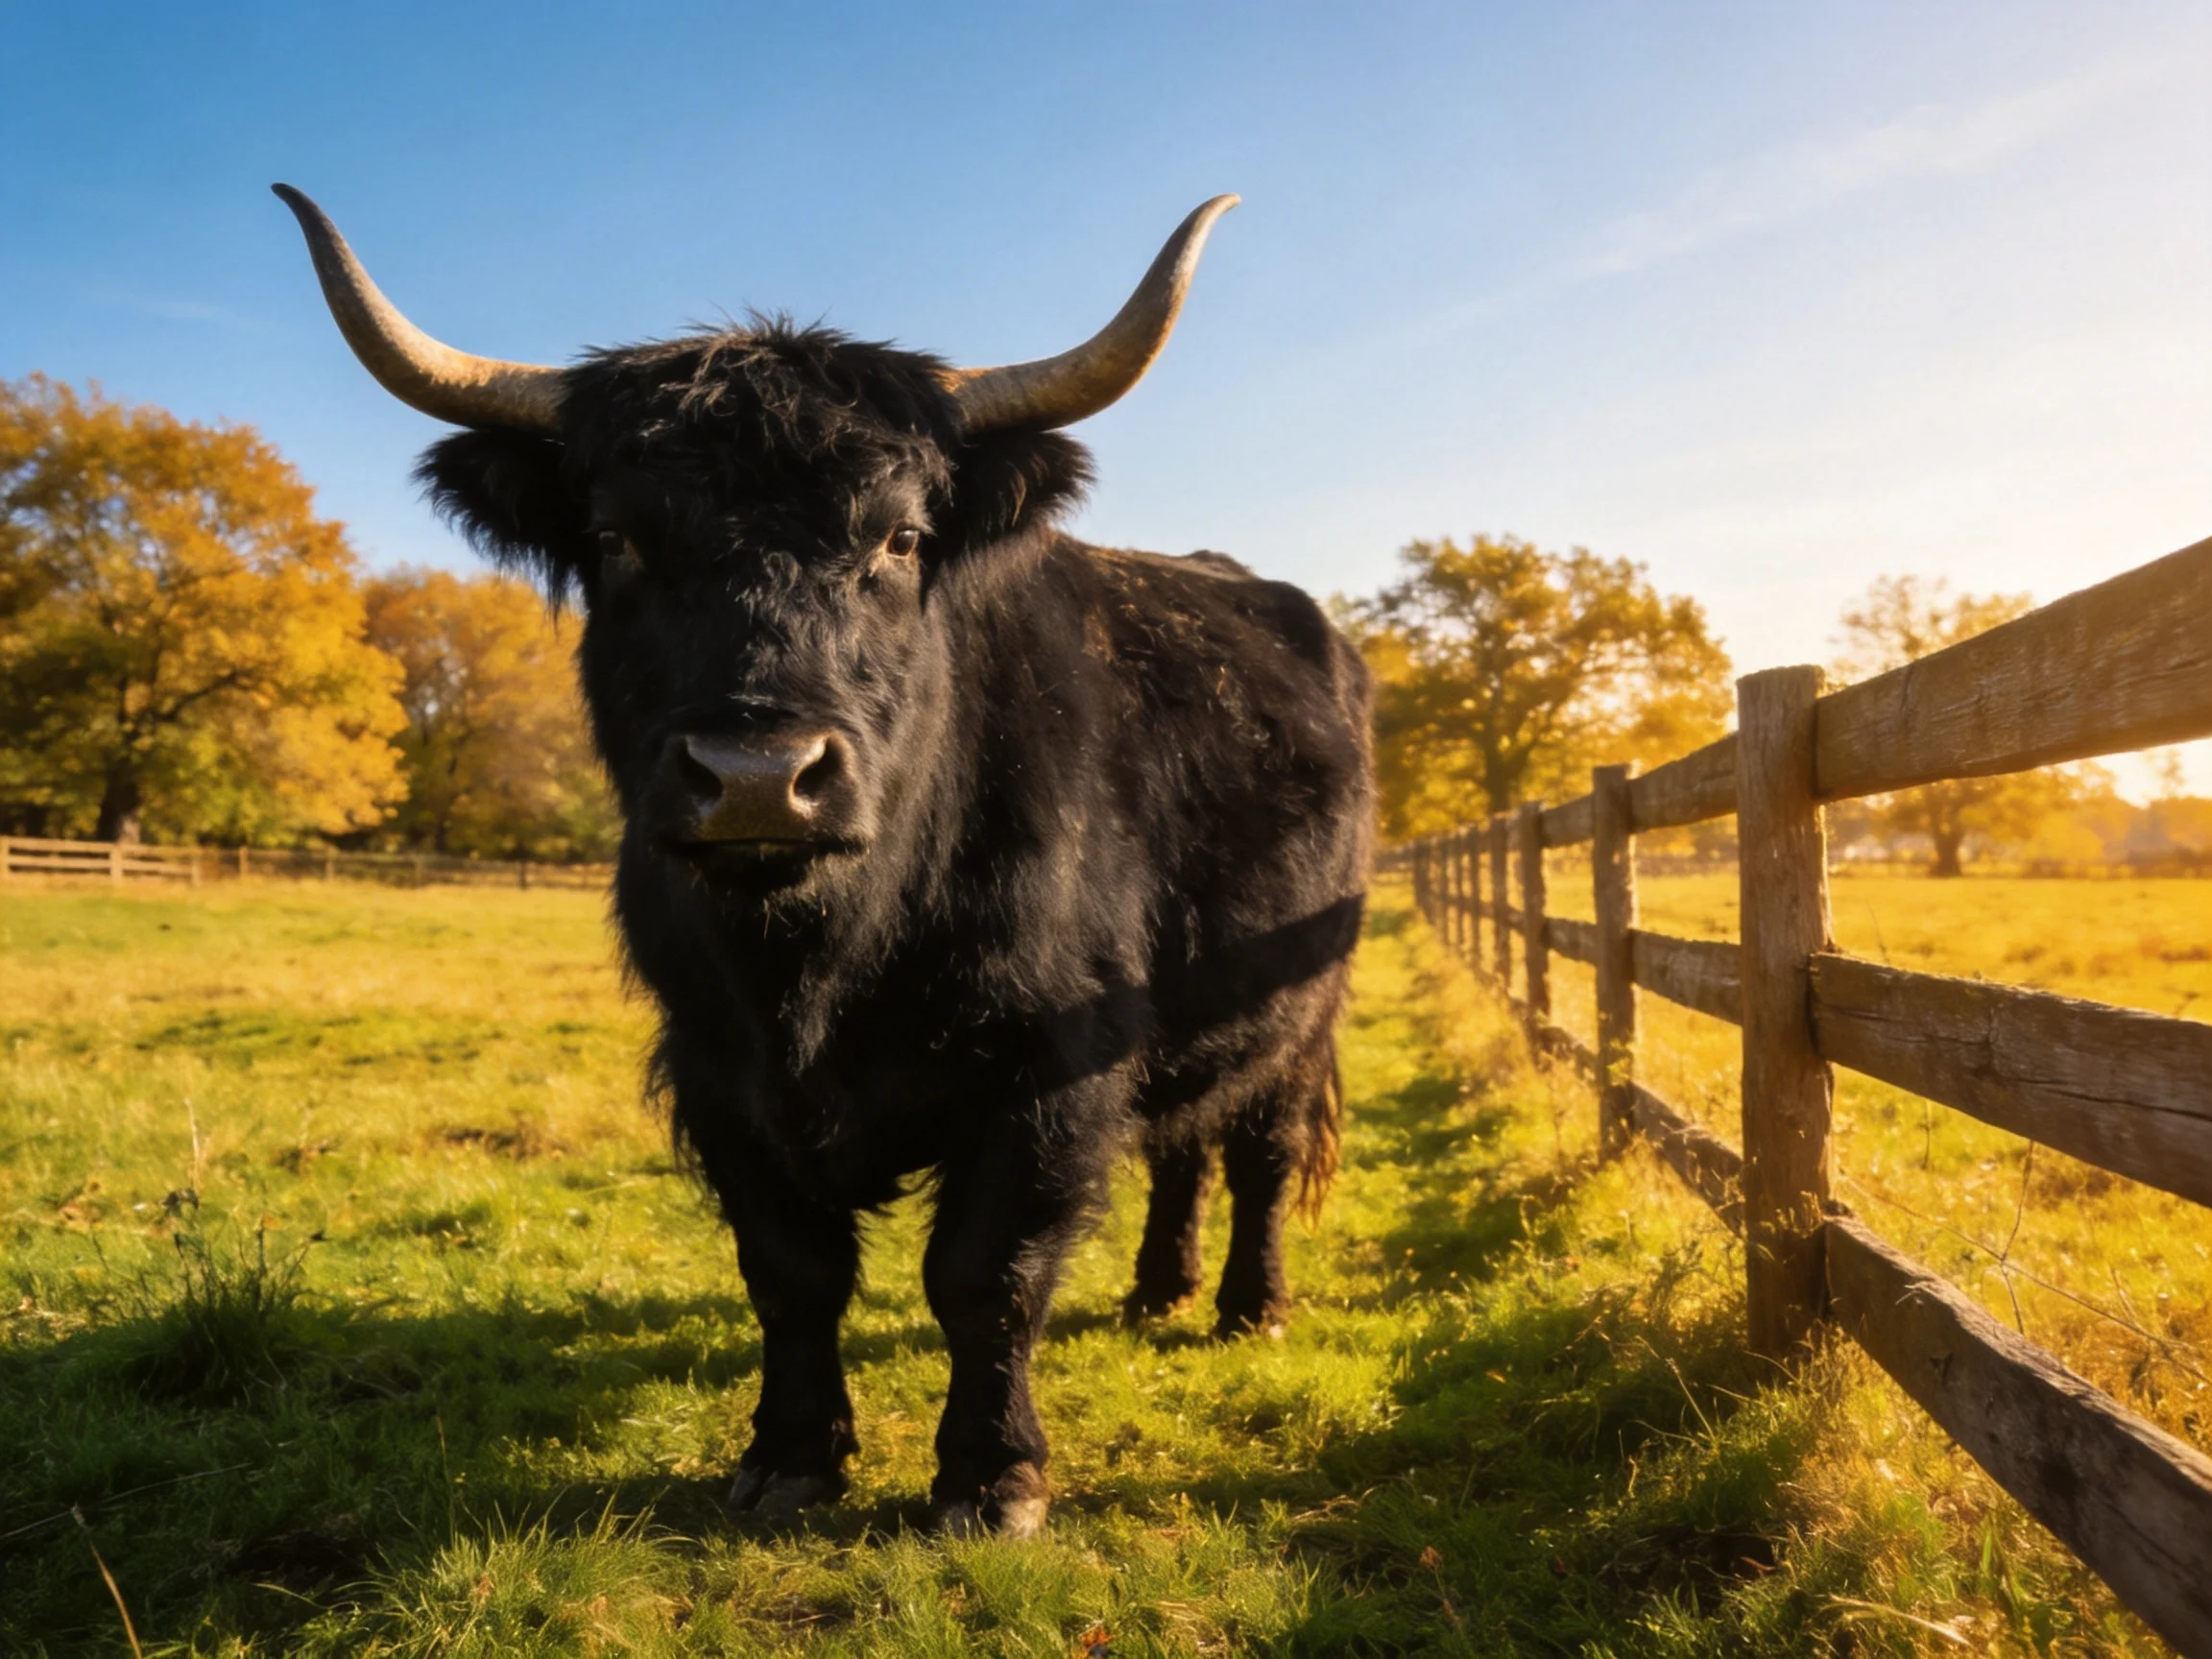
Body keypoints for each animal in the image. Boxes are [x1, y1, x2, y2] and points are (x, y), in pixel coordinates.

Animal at [277, 186, 1375, 1537]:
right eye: (618, 539)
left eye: (900, 539)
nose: (758, 774)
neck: (819, 963)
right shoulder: (716, 1070)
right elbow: (790, 1271)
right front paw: (790, 1456)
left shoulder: (1053, 1062)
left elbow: (985, 1275)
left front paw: (991, 1477)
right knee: (1181, 1146)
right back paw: (1156, 1291)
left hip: (1304, 1004)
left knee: (1260, 1150)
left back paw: (1245, 1309)